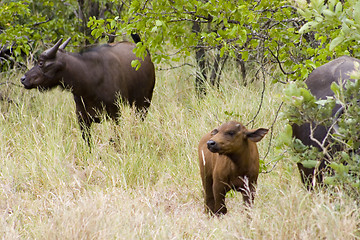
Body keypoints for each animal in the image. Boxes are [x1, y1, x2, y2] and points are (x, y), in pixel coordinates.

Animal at [20, 35, 156, 144]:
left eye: (41, 63)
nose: (23, 79)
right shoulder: (82, 117)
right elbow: (88, 142)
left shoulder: (115, 113)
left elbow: (116, 137)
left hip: (143, 104)